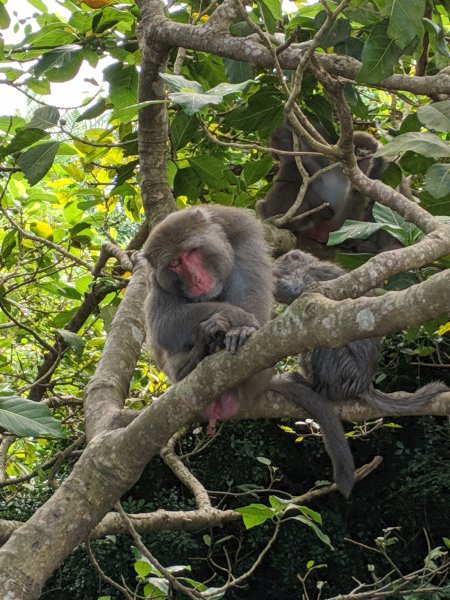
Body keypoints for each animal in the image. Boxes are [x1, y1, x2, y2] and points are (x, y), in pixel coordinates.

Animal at [143, 206, 356, 496]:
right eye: (174, 264)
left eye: (192, 252)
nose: (196, 280)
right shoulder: (156, 279)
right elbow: (164, 324)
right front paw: (231, 317)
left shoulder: (245, 234)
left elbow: (254, 299)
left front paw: (240, 327)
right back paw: (196, 357)